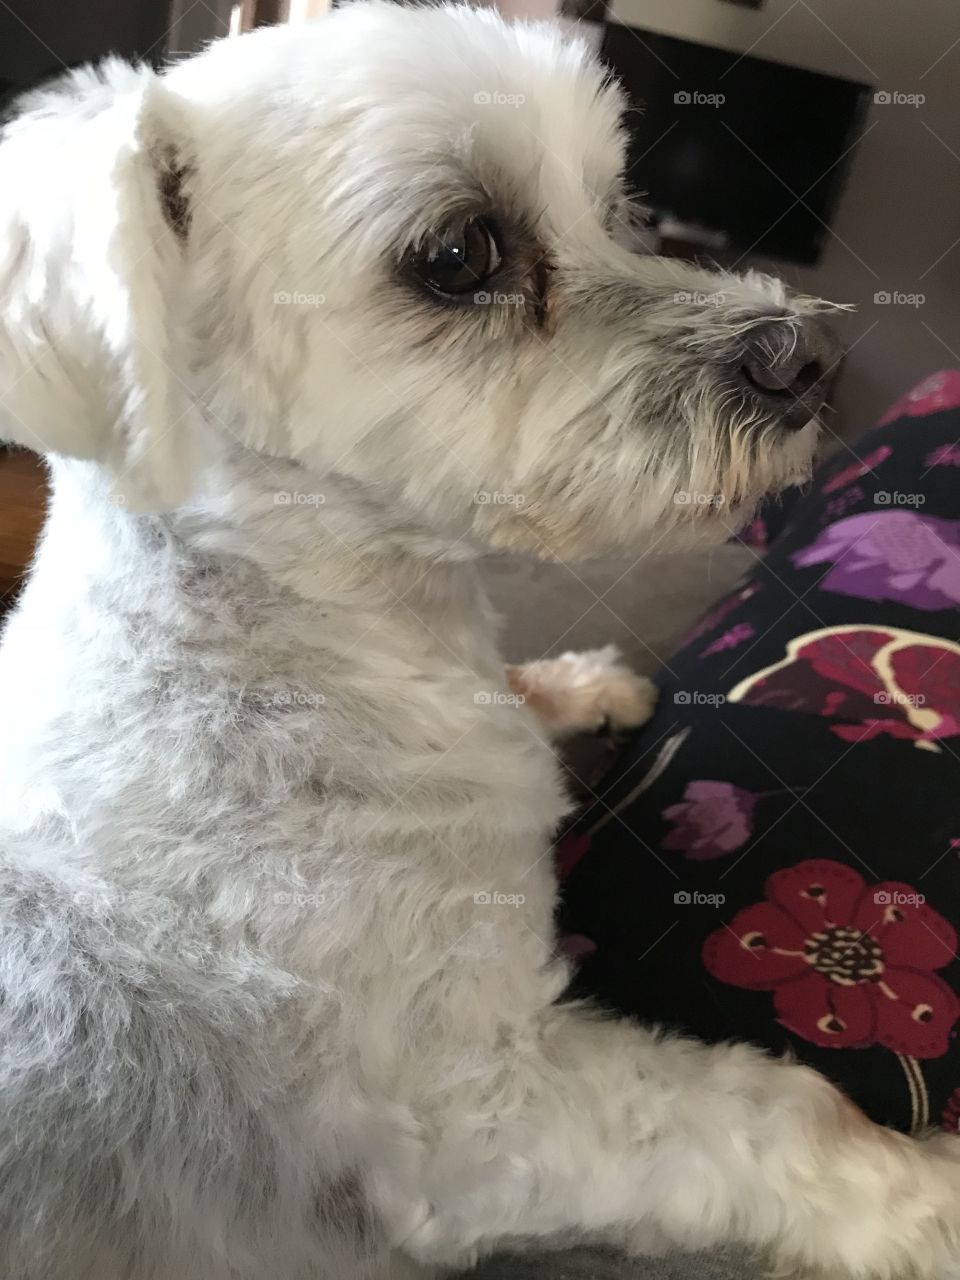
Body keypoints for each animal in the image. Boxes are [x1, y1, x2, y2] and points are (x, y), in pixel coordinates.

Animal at [0, 5, 957, 1274]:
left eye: (620, 206)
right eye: (460, 254)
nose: (806, 358)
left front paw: (582, 684)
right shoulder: (479, 1118)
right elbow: (772, 1112)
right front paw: (925, 1194)